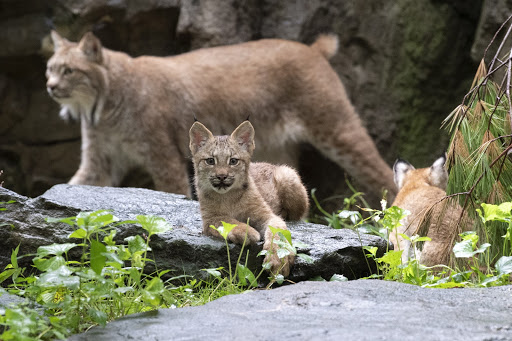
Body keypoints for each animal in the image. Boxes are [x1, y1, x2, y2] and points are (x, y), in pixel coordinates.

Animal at [188, 119, 308, 276]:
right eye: (210, 161)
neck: (228, 195)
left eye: (233, 161)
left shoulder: (267, 214)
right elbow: (227, 221)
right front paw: (246, 231)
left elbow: (277, 231)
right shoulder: (209, 219)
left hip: (288, 176)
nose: (222, 176)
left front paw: (279, 258)